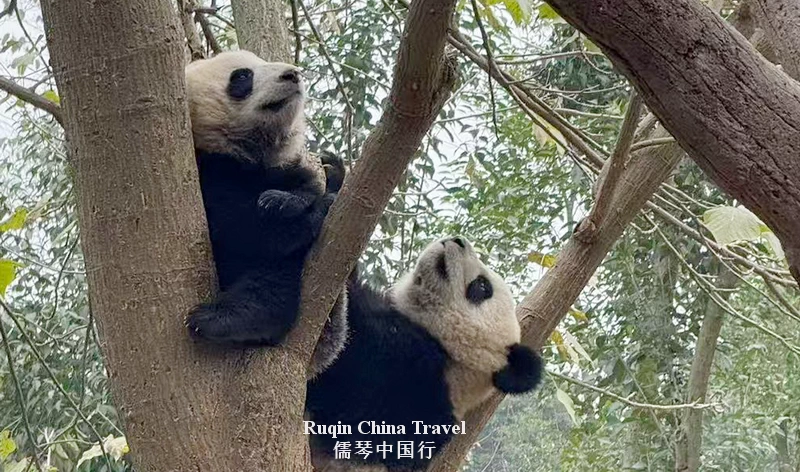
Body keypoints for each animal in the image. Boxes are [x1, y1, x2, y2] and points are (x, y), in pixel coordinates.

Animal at [183, 50, 348, 373]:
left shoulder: (286, 168)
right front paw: (295, 211)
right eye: (242, 76)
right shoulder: (205, 172)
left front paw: (284, 200)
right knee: (273, 278)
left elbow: (303, 188)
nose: (292, 74)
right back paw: (228, 318)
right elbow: (242, 227)